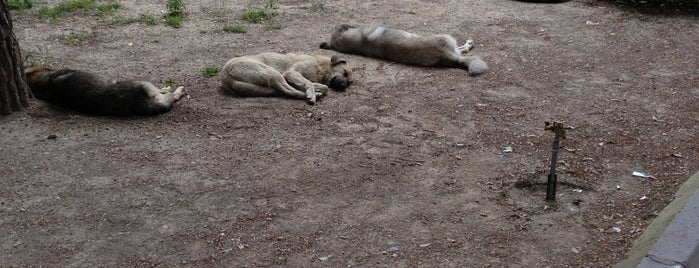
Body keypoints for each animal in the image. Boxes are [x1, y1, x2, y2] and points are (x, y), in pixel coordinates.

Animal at [221, 52, 352, 103]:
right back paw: (313, 95)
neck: (321, 67)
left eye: (349, 82)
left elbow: (322, 86)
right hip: (272, 72)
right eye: (345, 72)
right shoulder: (291, 73)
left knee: (284, 91)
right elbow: (309, 83)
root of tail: (225, 75)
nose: (343, 86)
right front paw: (312, 92)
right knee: (289, 91)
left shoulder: (292, 76)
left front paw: (316, 89)